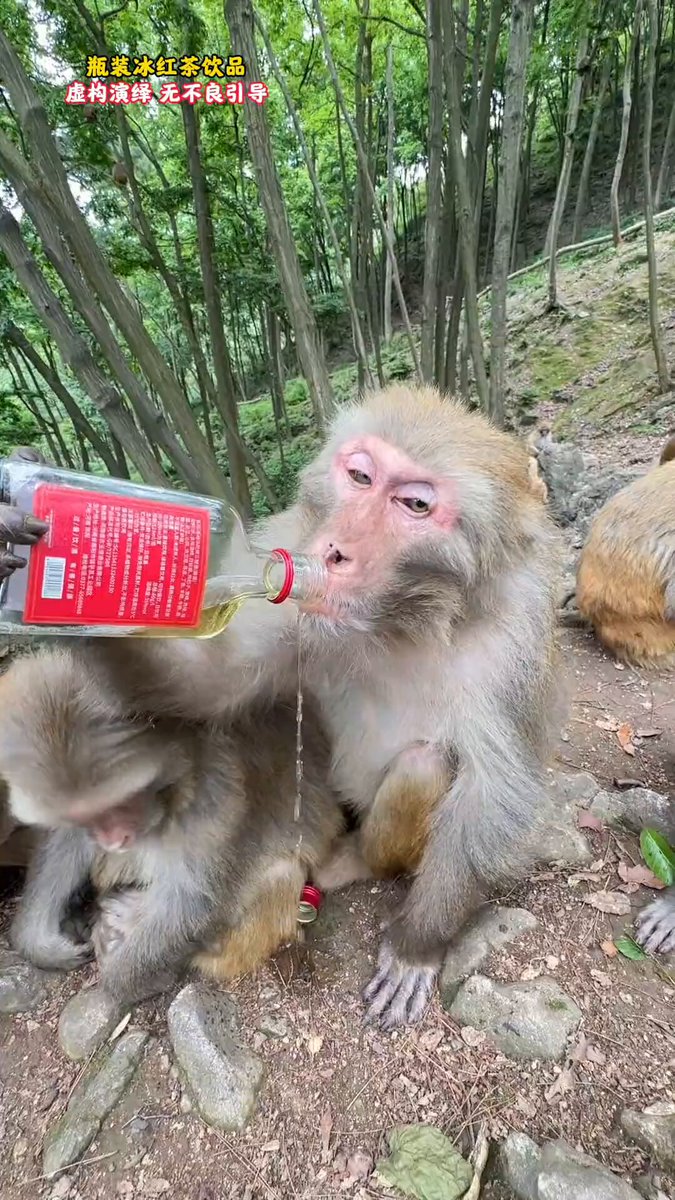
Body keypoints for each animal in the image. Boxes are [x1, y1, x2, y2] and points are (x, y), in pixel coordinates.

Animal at [0, 646, 344, 1007]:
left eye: (123, 804)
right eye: (88, 817)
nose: (113, 838)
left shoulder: (217, 794)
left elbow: (195, 900)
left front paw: (120, 981)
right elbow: (68, 839)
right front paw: (36, 939)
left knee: (280, 872)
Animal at [63, 382, 561, 1030]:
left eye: (414, 505)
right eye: (360, 476)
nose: (334, 551)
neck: (403, 622)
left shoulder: (514, 642)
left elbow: (494, 793)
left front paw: (417, 945)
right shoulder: (290, 577)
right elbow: (214, 684)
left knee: (425, 766)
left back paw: (357, 863)